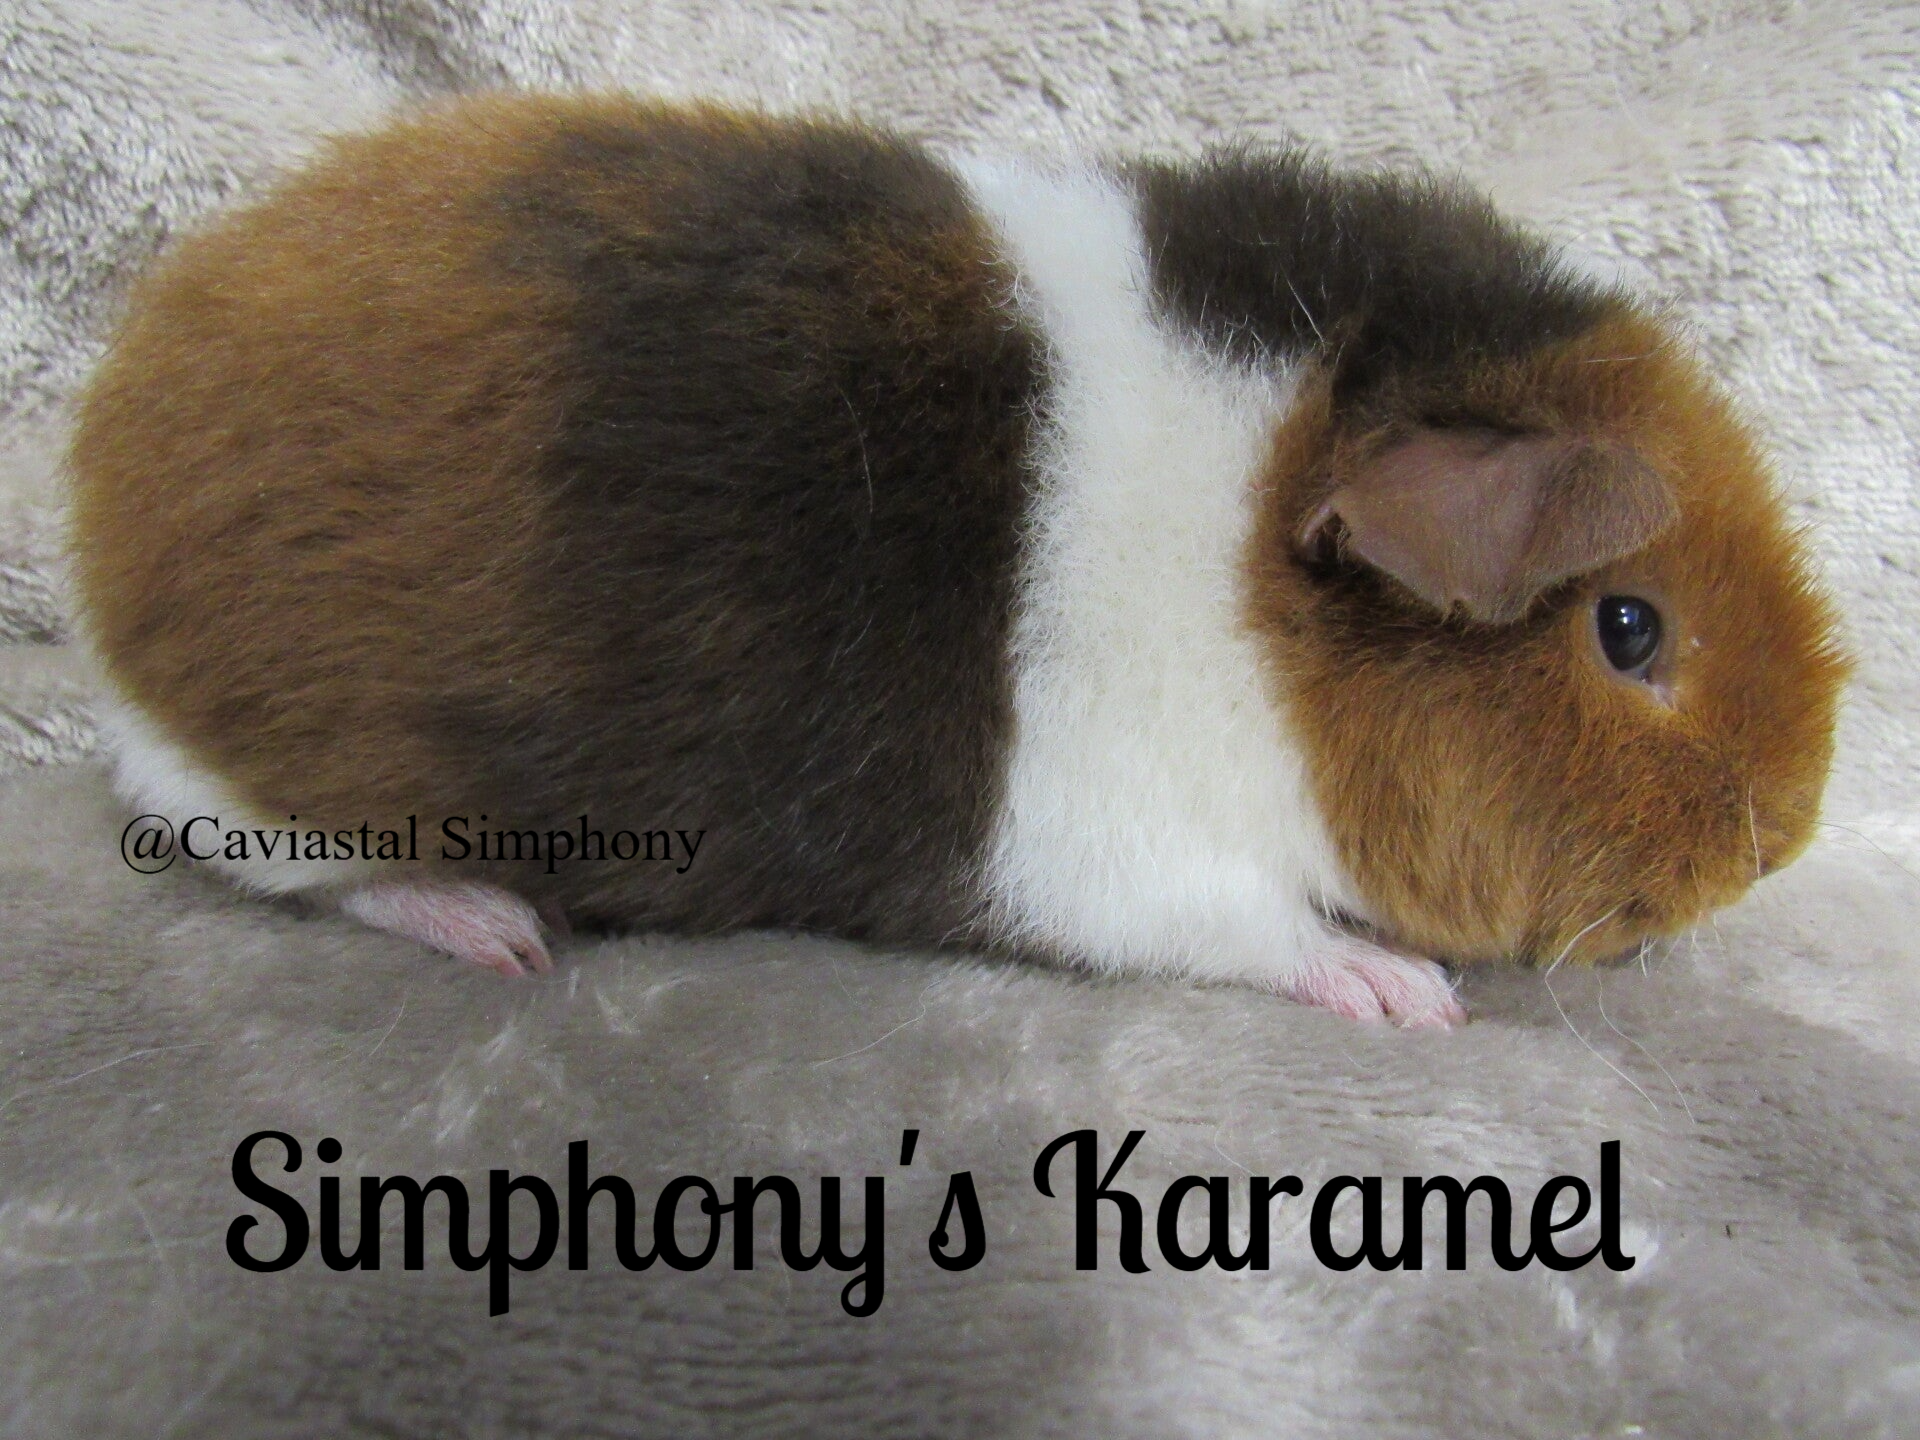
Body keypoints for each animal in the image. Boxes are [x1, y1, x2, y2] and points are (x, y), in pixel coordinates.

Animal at [68, 93, 1846, 1028]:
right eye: (1631, 628)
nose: (1782, 847)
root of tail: (107, 476)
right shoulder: (1115, 852)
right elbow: (1255, 928)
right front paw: (1410, 996)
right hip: (280, 802)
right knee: (286, 863)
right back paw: (499, 932)